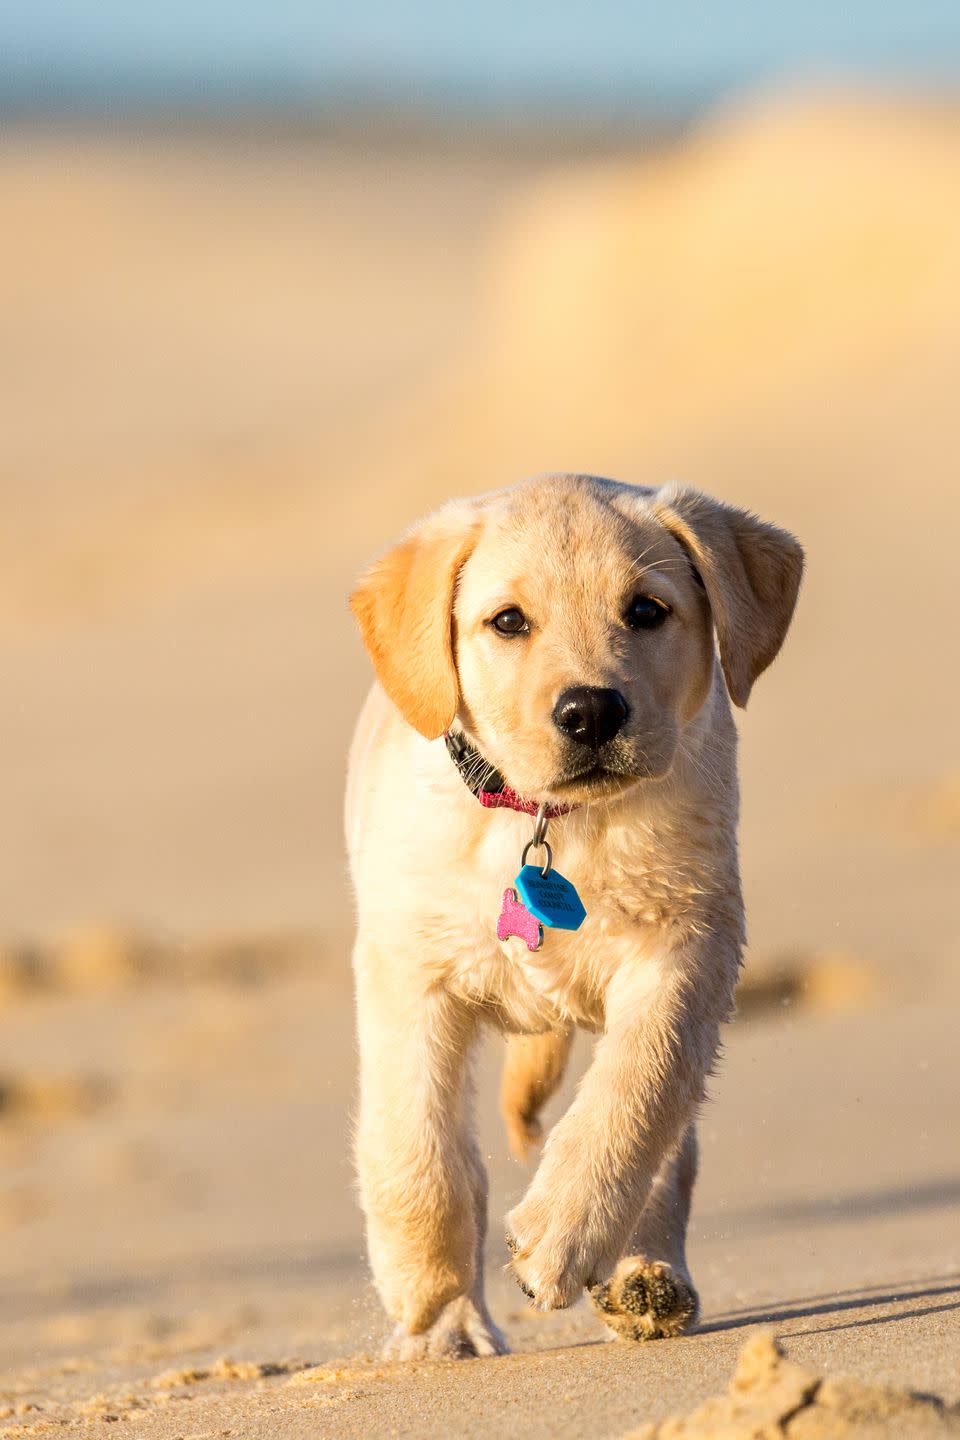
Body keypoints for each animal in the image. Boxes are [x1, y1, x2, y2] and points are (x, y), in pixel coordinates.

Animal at [345, 475, 805, 1359]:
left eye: (648, 611)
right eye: (508, 622)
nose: (591, 711)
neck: (552, 822)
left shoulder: (688, 947)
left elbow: (637, 1092)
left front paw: (562, 1235)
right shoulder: (408, 970)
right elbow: (419, 1146)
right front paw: (428, 1297)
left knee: (668, 1136)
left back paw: (646, 1277)